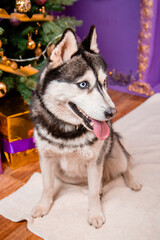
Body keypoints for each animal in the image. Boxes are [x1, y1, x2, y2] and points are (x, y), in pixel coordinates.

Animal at [31, 26, 141, 229]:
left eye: (105, 83)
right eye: (83, 84)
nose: (112, 112)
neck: (67, 130)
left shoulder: (94, 162)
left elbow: (92, 191)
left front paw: (95, 213)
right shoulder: (46, 158)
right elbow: (47, 186)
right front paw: (43, 206)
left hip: (116, 155)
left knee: (126, 164)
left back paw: (132, 182)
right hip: (63, 174)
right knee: (99, 180)